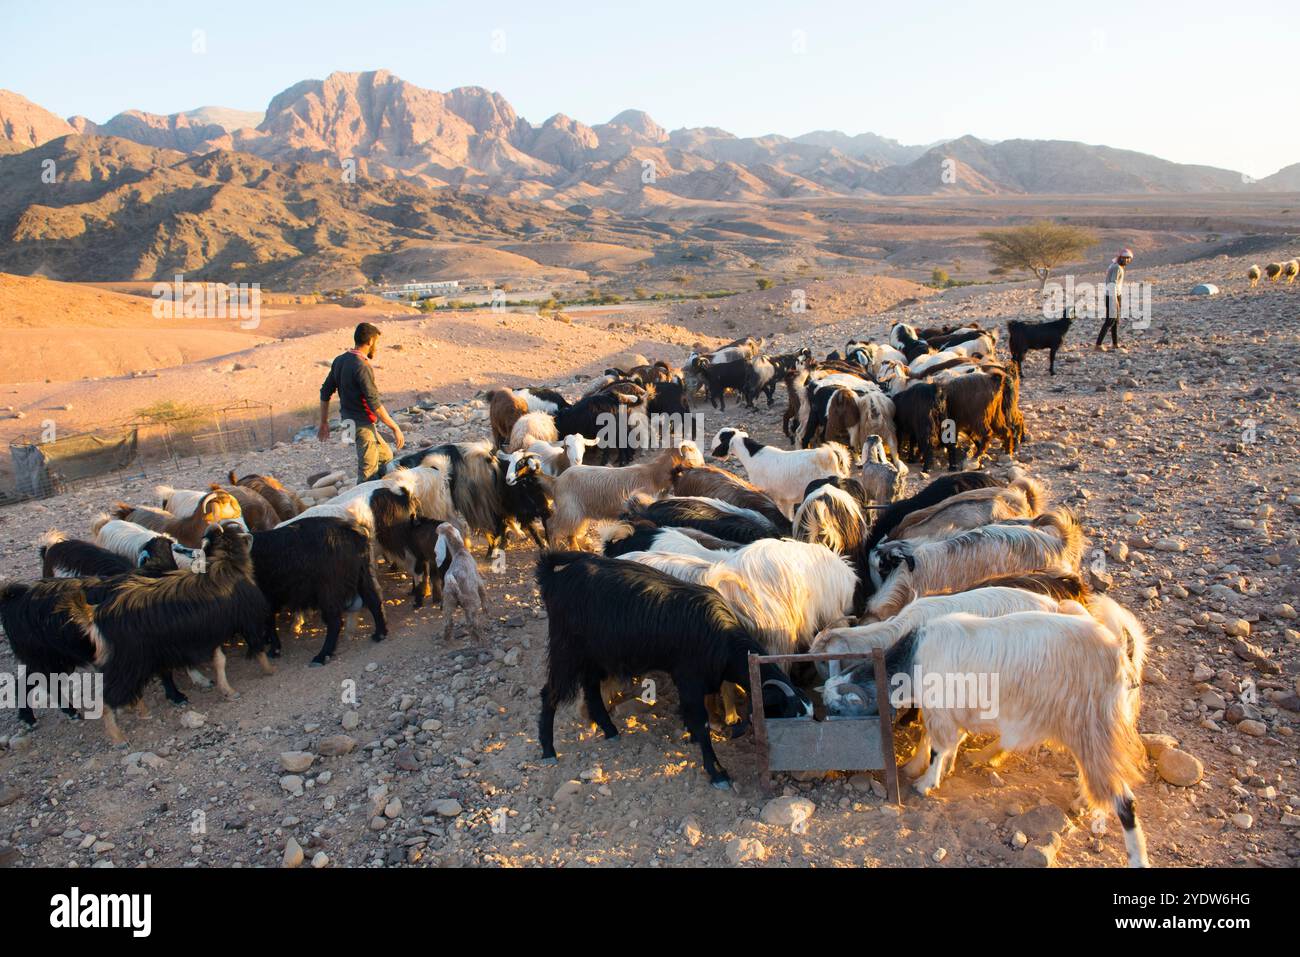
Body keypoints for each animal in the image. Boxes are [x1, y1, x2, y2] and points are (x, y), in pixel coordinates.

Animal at [533, 548, 806, 790]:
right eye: (786, 719)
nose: (798, 766)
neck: (720, 636)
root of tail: (553, 577)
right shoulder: (689, 678)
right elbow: (701, 724)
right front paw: (717, 773)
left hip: (595, 655)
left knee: (590, 688)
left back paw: (610, 730)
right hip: (566, 650)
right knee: (550, 693)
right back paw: (548, 750)